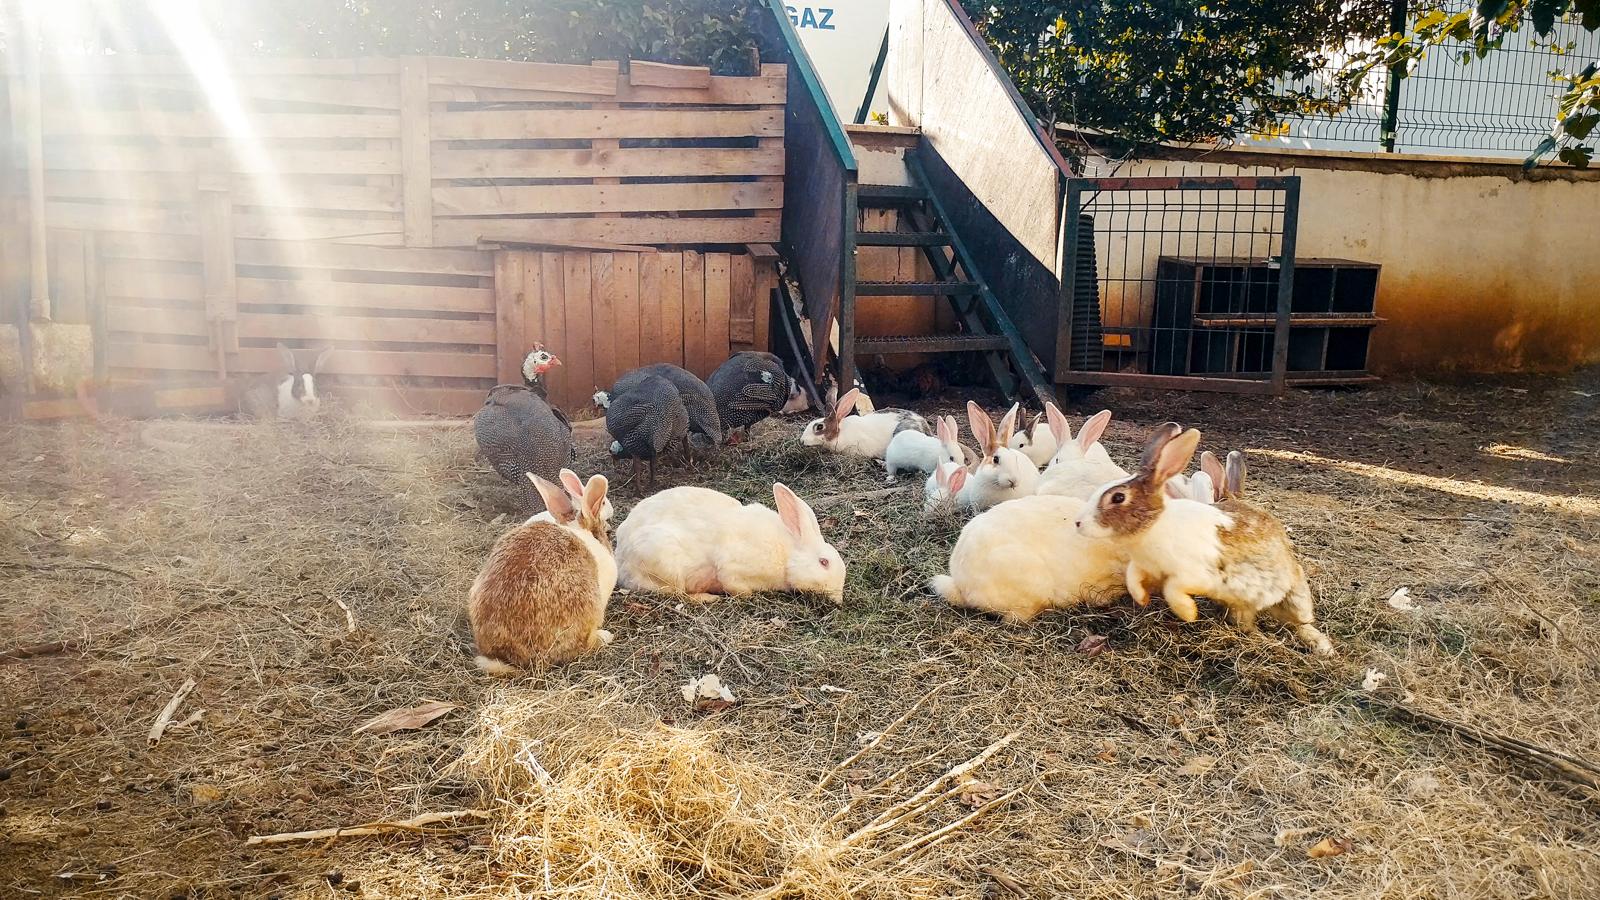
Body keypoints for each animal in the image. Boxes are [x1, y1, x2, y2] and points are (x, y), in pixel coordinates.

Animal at [614, 482, 845, 604]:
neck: (788, 556)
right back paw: (708, 598)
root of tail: (620, 558)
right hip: (664, 565)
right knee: (679, 593)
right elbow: (737, 587)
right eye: (824, 562)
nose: (838, 599)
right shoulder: (732, 569)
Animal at [1075, 423, 1334, 655]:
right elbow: (1133, 579)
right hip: (1240, 607)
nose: (1078, 523)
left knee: (1301, 623)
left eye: (1118, 498)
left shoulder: (1195, 573)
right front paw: (1143, 599)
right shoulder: (1141, 567)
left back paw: (1322, 647)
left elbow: (1173, 588)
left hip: (1294, 599)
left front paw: (1189, 613)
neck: (1155, 525)